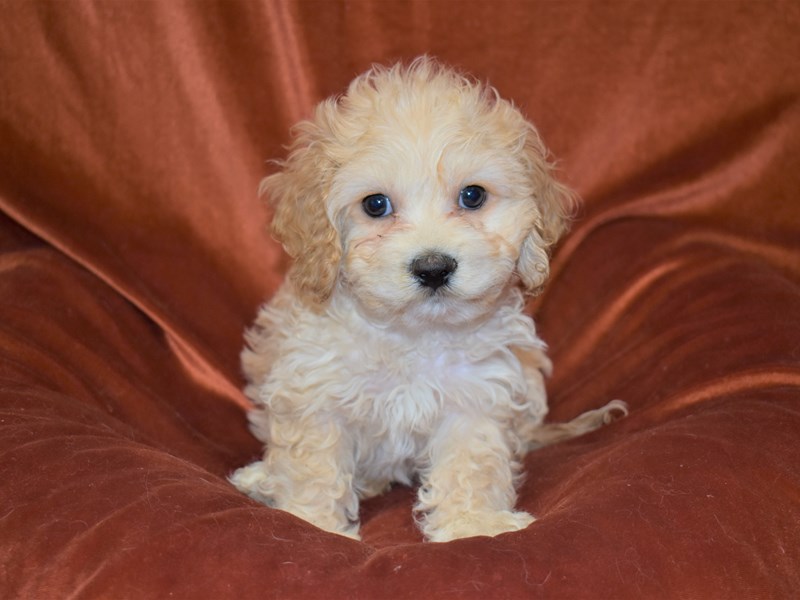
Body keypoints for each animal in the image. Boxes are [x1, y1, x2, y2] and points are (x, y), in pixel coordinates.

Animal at [231, 58, 624, 540]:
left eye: (472, 195)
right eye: (375, 205)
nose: (433, 267)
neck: (414, 334)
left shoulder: (476, 393)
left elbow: (471, 462)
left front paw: (472, 523)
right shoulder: (314, 388)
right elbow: (314, 465)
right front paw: (313, 523)